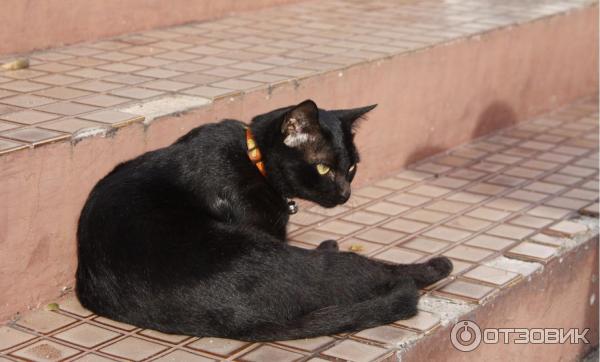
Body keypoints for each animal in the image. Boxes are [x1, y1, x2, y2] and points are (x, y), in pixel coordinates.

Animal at [76, 99, 450, 342]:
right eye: (323, 168)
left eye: (353, 167)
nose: (346, 194)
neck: (253, 159)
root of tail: (236, 320)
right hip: (309, 263)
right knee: (374, 273)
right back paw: (433, 267)